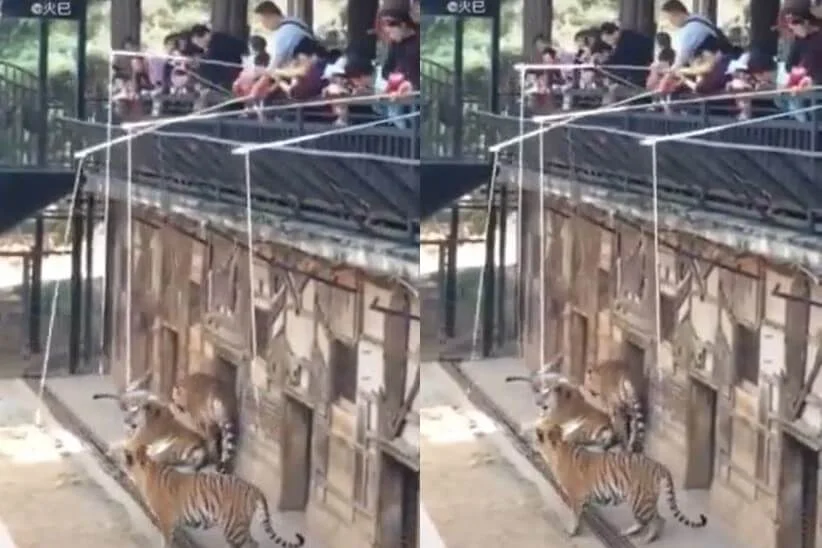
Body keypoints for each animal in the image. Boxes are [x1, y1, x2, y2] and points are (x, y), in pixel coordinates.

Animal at [120, 444, 304, 544]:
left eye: (128, 457)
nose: (123, 460)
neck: (146, 473)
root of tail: (253, 488)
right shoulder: (173, 523)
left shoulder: (166, 521)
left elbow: (165, 541)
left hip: (234, 529)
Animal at [536, 420, 708, 544]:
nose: (535, 430)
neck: (556, 449)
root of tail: (659, 465)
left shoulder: (576, 497)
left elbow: (574, 515)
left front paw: (572, 531)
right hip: (642, 500)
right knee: (650, 520)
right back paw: (628, 532)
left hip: (640, 501)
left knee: (658, 520)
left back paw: (646, 540)